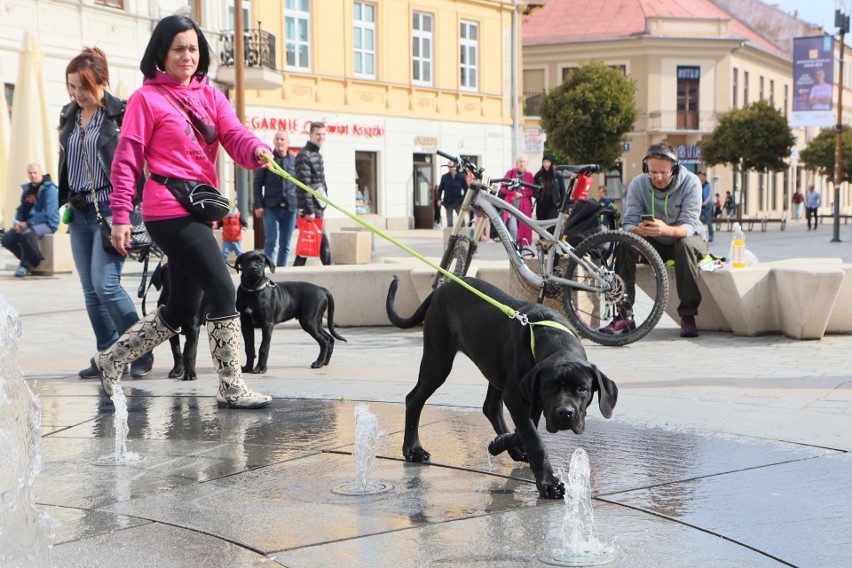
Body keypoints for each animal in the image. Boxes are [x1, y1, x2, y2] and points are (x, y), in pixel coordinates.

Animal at [388, 278, 620, 500]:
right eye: (549, 387)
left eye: (582, 388)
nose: (565, 413)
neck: (553, 339)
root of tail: (441, 289)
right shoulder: (518, 396)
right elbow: (533, 438)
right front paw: (548, 483)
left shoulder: (531, 397)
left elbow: (525, 431)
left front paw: (501, 444)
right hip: (438, 360)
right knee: (414, 398)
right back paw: (413, 450)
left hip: (495, 367)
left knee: (490, 407)